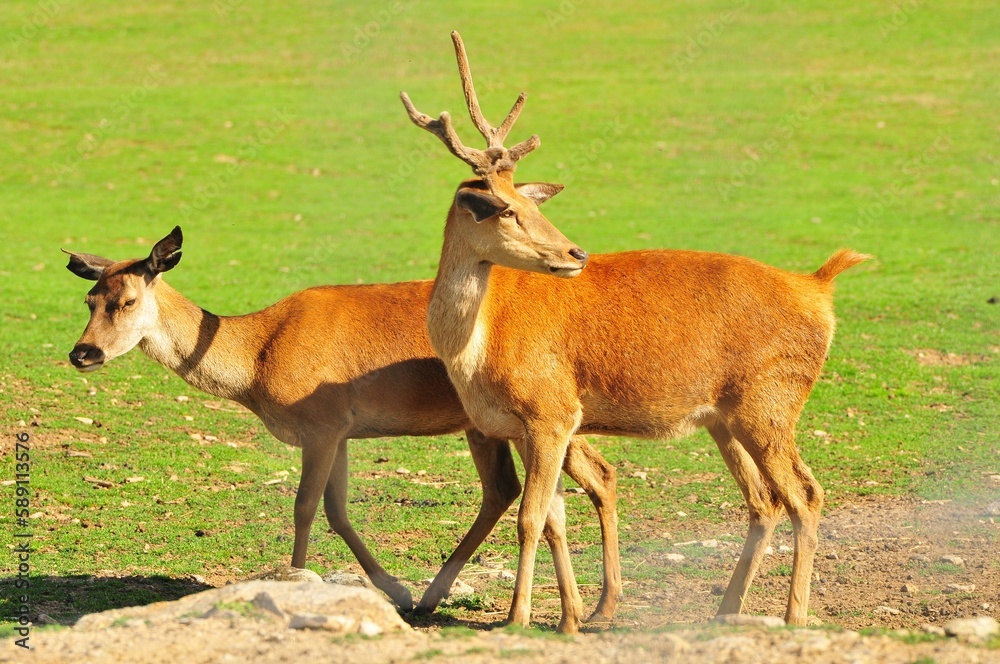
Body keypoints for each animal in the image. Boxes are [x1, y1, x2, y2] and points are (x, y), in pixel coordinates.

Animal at [63, 227, 623, 621]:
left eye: (127, 300)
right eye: (89, 300)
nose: (82, 353)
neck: (257, 361)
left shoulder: (321, 423)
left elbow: (306, 506)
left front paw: (299, 578)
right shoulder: (343, 432)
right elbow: (336, 509)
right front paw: (394, 588)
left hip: (533, 411)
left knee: (578, 476)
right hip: (492, 424)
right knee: (518, 486)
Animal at [401, 31, 869, 633]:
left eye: (531, 202)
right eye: (503, 209)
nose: (575, 253)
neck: (476, 352)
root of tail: (819, 288)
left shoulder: (552, 412)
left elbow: (530, 517)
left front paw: (518, 619)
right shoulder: (527, 426)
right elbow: (552, 518)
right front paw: (569, 618)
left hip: (770, 402)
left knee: (805, 495)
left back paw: (793, 617)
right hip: (725, 419)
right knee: (762, 500)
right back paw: (724, 610)